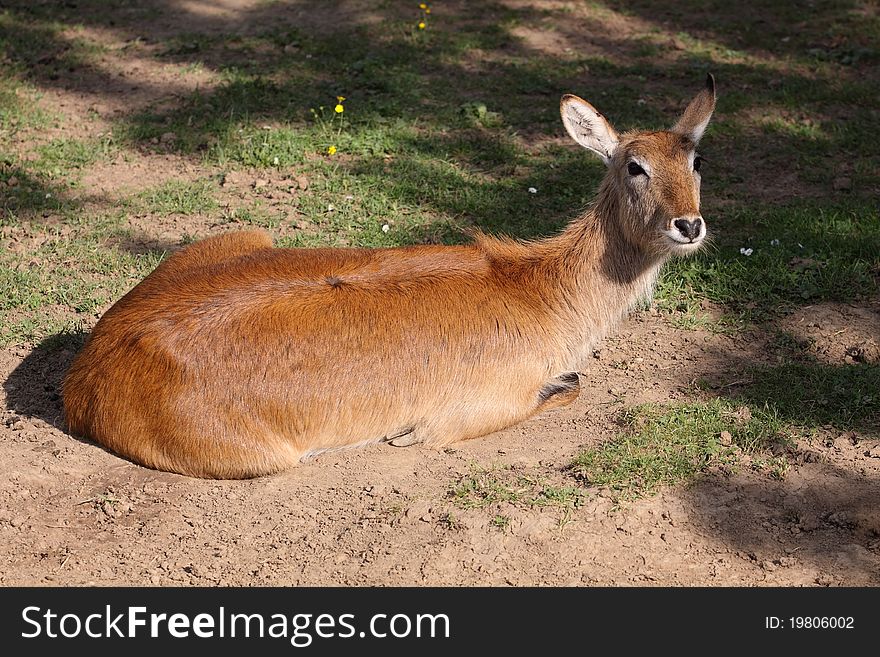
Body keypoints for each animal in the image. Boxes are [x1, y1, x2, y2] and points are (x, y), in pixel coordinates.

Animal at [65, 75, 720, 476]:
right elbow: (569, 387)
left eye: (695, 160)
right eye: (633, 165)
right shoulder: (475, 408)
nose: (688, 225)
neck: (537, 291)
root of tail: (85, 378)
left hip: (245, 235)